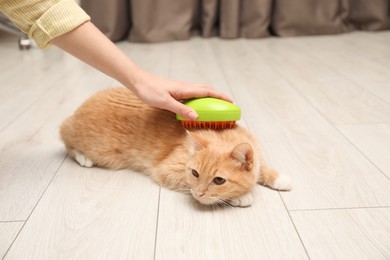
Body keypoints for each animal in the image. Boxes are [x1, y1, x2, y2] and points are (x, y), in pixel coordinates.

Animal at [61, 87, 290, 207]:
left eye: (218, 180)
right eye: (195, 173)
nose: (199, 194)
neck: (221, 132)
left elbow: (262, 168)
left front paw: (279, 178)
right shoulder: (167, 170)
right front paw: (241, 196)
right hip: (97, 148)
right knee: (66, 140)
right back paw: (83, 158)